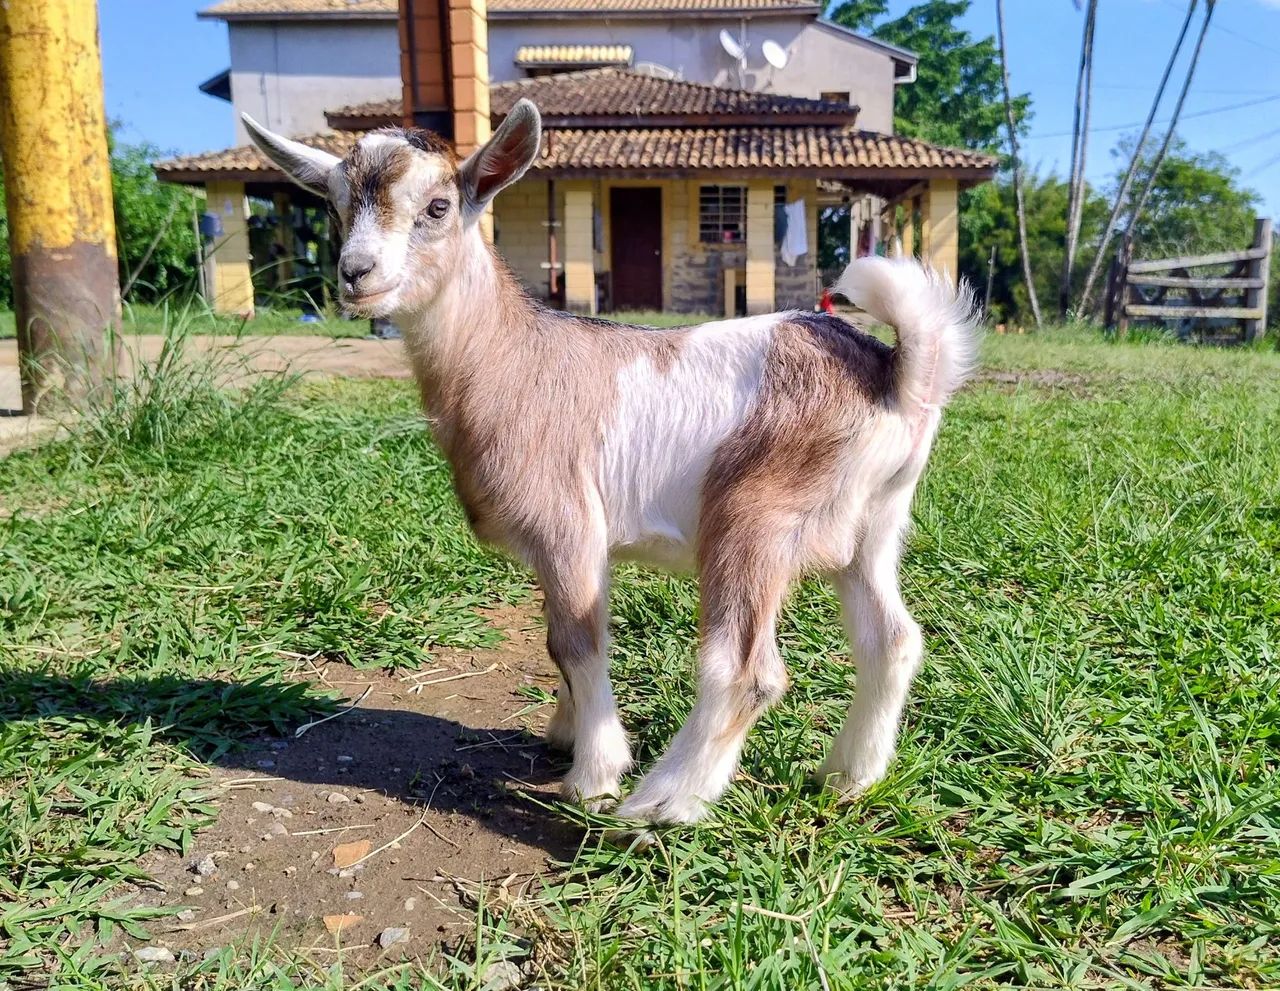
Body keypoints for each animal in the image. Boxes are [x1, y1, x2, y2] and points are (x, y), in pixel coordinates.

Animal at [244, 101, 979, 826]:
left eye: (438, 206)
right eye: (335, 206)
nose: (356, 274)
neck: (509, 354)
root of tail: (896, 373)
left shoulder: (568, 526)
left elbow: (577, 643)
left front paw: (593, 775)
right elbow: (556, 640)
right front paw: (562, 736)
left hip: (753, 519)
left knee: (747, 669)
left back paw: (661, 803)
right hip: (872, 529)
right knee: (892, 640)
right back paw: (846, 777)